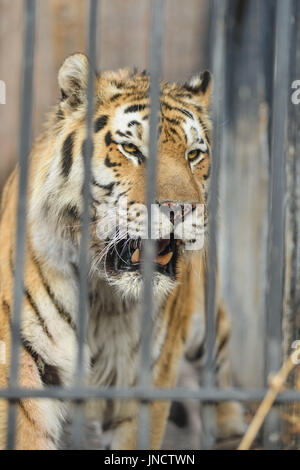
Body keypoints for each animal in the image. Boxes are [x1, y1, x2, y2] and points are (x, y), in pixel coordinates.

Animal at [0, 53, 245, 450]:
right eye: (131, 149)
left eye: (194, 155)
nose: (180, 209)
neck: (105, 296)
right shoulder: (23, 358)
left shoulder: (150, 376)